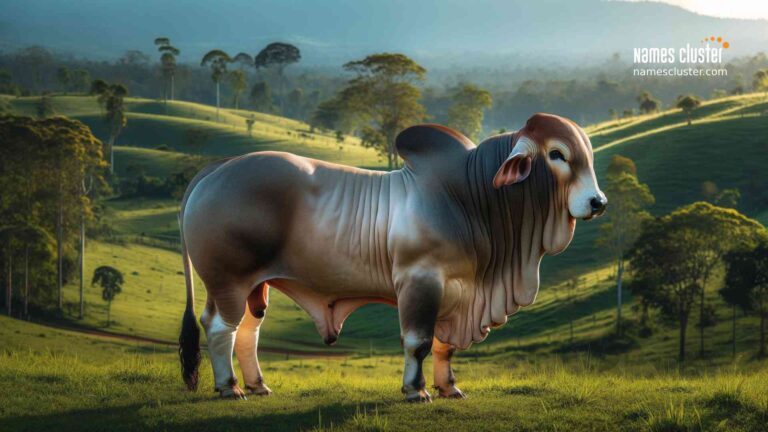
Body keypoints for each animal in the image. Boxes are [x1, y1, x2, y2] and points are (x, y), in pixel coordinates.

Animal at [178, 113, 606, 402]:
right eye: (557, 154)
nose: (597, 202)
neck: (472, 195)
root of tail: (218, 169)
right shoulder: (420, 281)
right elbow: (418, 341)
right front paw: (416, 390)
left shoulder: (458, 290)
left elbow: (444, 345)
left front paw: (450, 387)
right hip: (228, 281)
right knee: (220, 327)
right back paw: (229, 387)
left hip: (256, 285)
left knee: (248, 331)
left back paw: (257, 384)